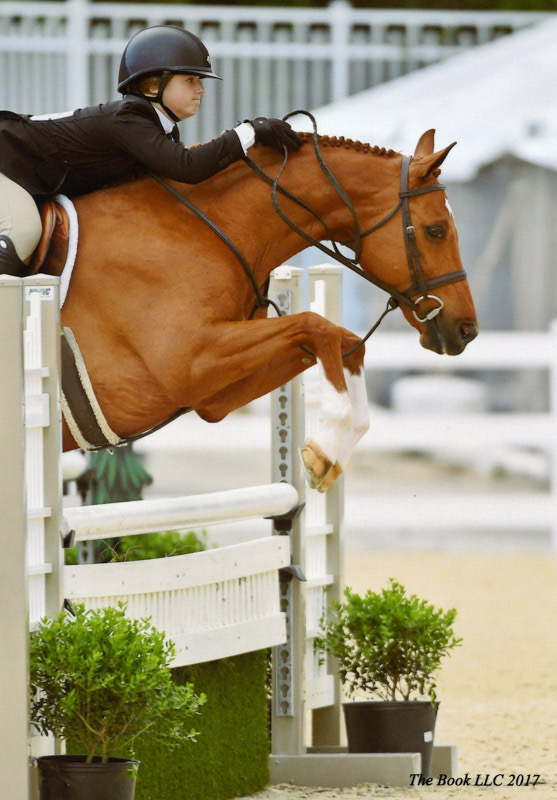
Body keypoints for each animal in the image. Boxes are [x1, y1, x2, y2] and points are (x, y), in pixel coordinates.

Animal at [45, 126, 476, 490]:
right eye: (435, 230)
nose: (466, 330)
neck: (203, 227)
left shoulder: (211, 394)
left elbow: (345, 342)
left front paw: (331, 451)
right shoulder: (192, 361)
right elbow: (316, 326)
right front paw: (323, 450)